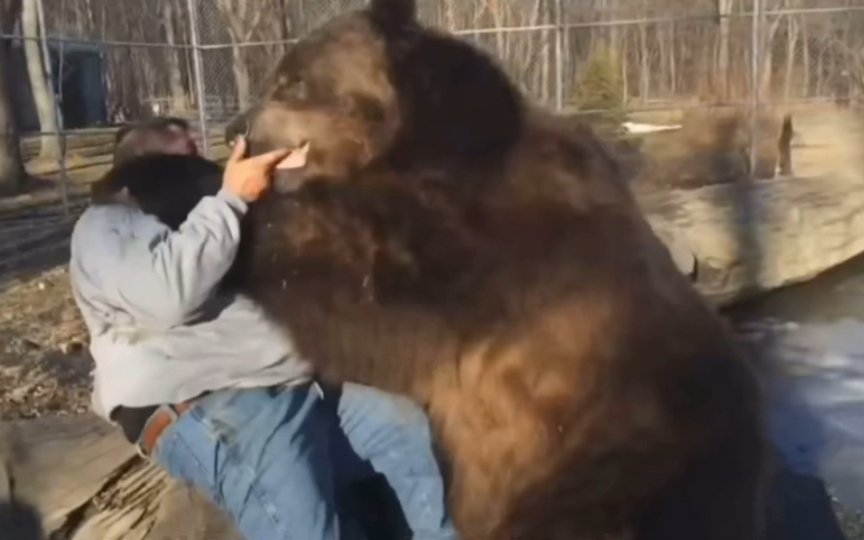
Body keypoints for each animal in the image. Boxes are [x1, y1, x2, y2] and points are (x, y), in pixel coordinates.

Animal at [226, 1, 768, 540]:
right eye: (277, 74)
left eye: (293, 80)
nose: (236, 128)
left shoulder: (497, 258)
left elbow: (363, 298)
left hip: (605, 467)